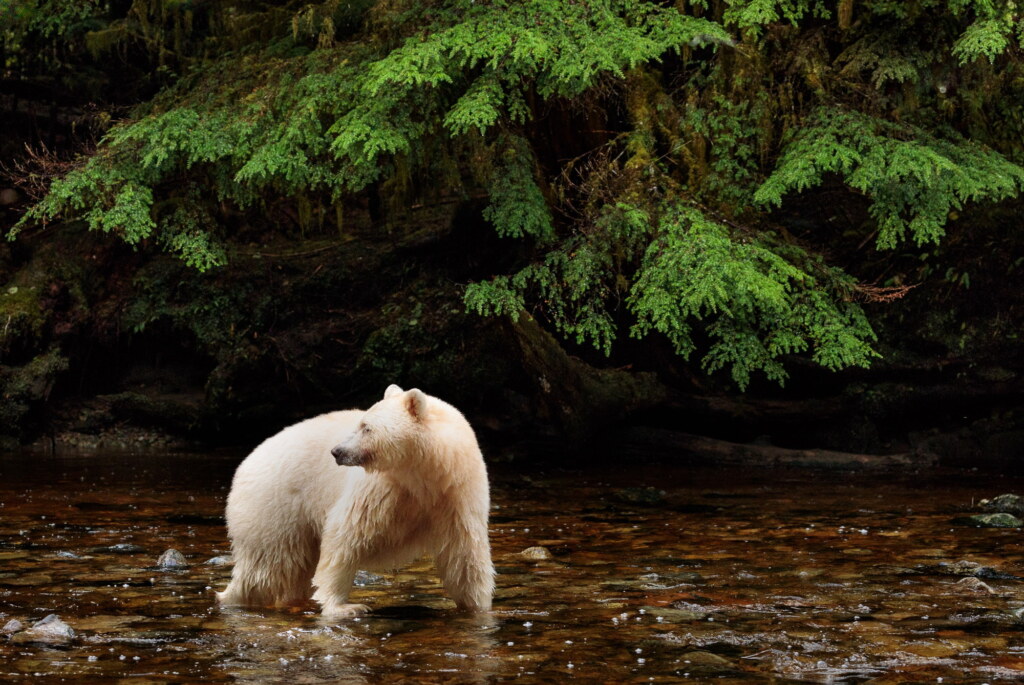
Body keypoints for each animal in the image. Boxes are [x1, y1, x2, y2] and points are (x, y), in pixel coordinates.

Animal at [216, 385, 494, 618]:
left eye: (366, 427)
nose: (337, 451)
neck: (423, 474)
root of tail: (247, 462)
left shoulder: (456, 494)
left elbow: (464, 554)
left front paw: (477, 607)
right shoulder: (381, 489)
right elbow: (347, 536)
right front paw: (343, 607)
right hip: (276, 504)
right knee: (266, 568)